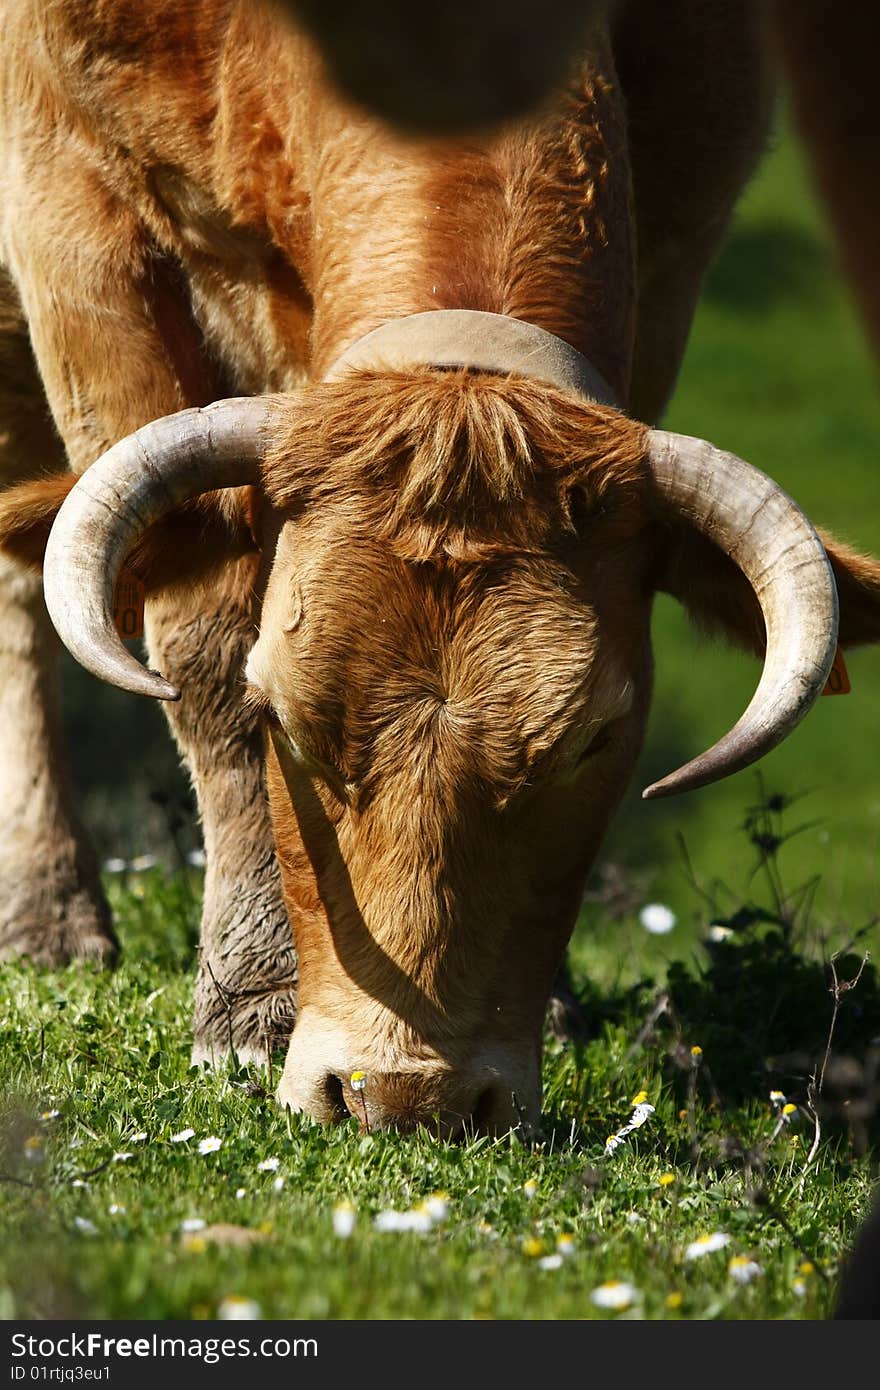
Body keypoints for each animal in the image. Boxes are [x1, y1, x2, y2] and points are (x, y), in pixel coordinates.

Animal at [1, 0, 878, 1134]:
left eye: (595, 738)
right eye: (282, 719)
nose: (407, 1095)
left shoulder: (680, 218)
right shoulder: (75, 208)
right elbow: (196, 647)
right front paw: (251, 1002)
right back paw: (48, 913)